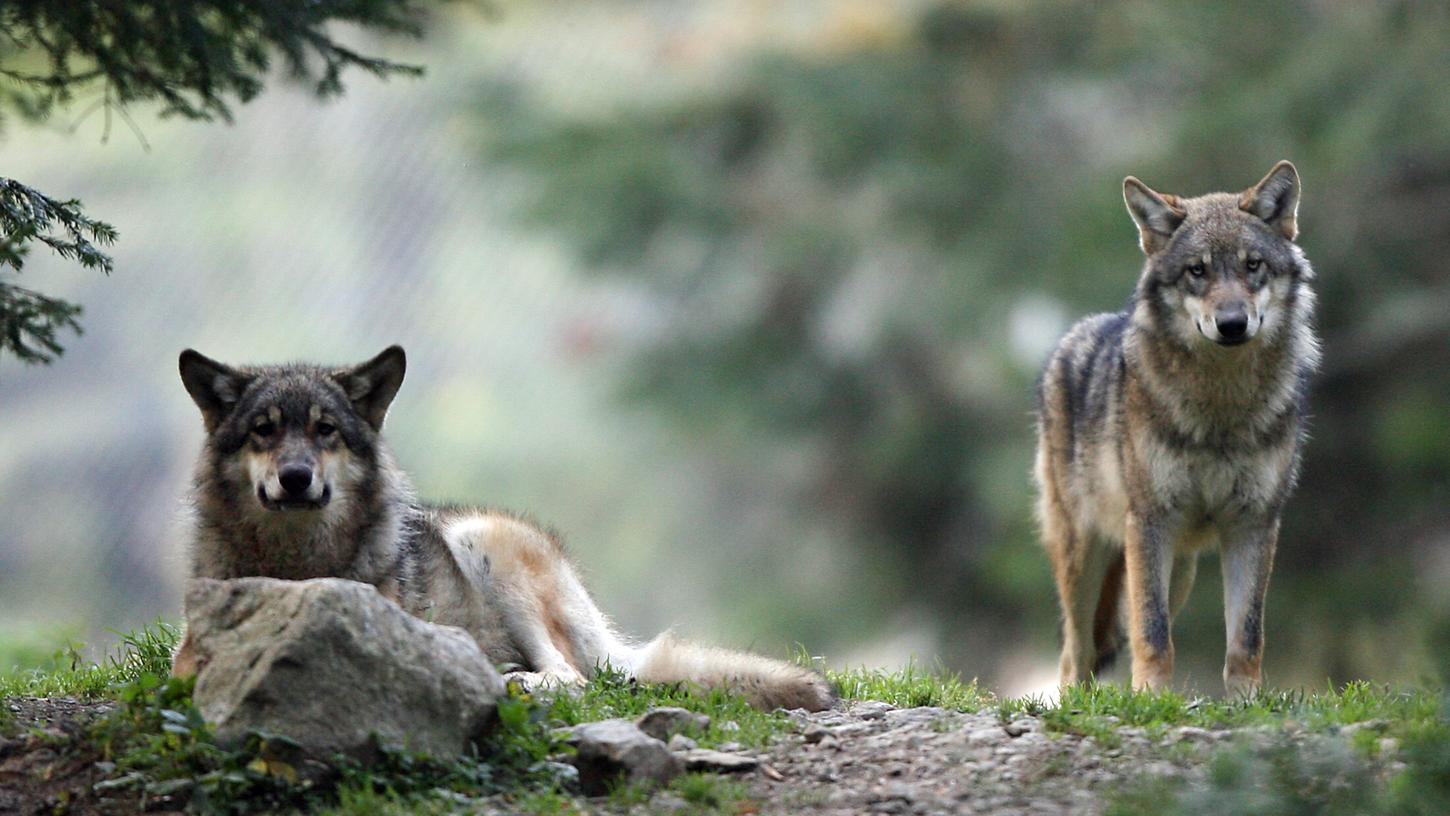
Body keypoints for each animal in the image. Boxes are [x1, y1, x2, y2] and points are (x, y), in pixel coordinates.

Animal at [174, 347, 835, 713]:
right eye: (263, 430)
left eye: (324, 430)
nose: (295, 477)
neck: (296, 565)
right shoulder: (187, 652)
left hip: (484, 546)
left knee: (572, 680)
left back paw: (505, 677)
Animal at [1032, 163, 1328, 698]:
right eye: (1197, 270)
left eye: (1253, 265)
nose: (1232, 323)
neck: (1221, 409)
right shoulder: (1151, 521)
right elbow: (1152, 631)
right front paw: (1150, 698)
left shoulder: (1254, 524)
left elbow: (1246, 634)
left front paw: (1245, 702)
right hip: (1086, 555)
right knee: (1075, 653)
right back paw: (1075, 704)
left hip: (1180, 570)